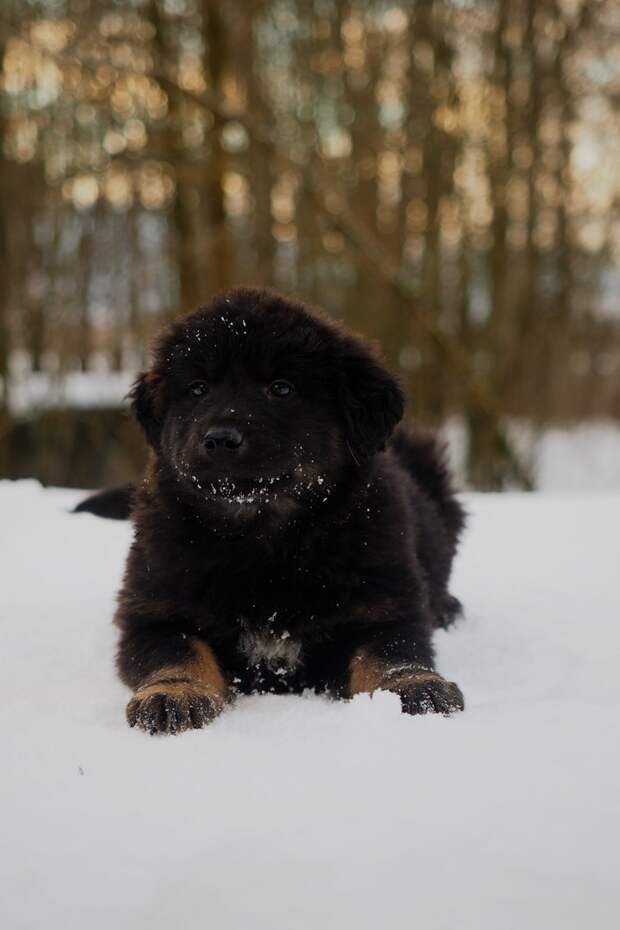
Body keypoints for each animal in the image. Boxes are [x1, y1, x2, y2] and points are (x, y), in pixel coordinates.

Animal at [78, 286, 464, 736]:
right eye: (197, 388)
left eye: (281, 388)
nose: (220, 439)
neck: (263, 538)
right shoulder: (154, 610)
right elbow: (177, 651)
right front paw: (173, 694)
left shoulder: (385, 605)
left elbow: (390, 652)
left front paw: (413, 686)